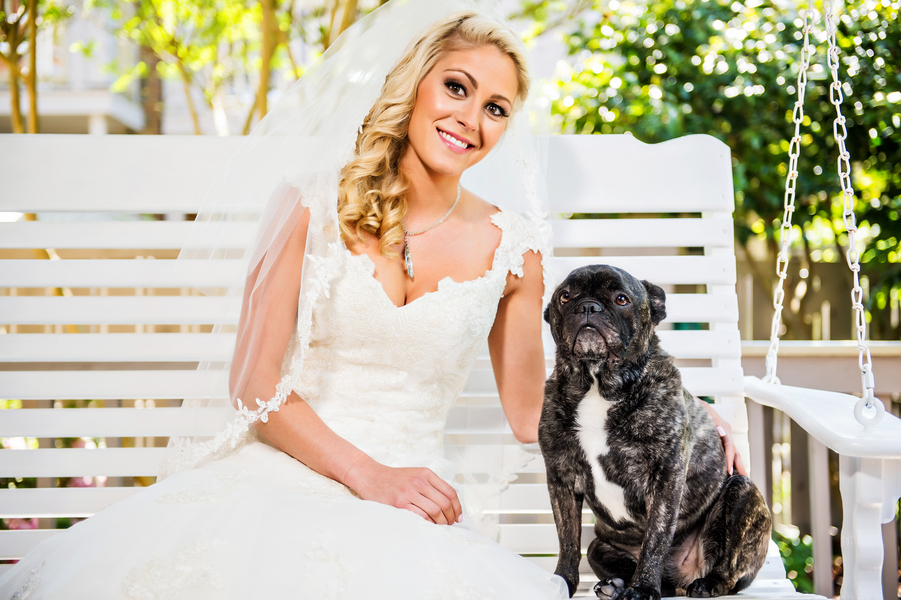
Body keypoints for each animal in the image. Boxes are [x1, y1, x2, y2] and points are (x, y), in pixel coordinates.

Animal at [536, 264, 768, 596]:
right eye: (565, 297)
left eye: (621, 299)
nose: (588, 306)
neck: (598, 385)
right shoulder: (561, 480)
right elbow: (567, 540)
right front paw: (563, 582)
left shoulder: (665, 477)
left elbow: (655, 539)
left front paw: (644, 588)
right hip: (598, 547)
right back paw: (617, 585)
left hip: (741, 492)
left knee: (728, 571)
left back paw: (705, 583)